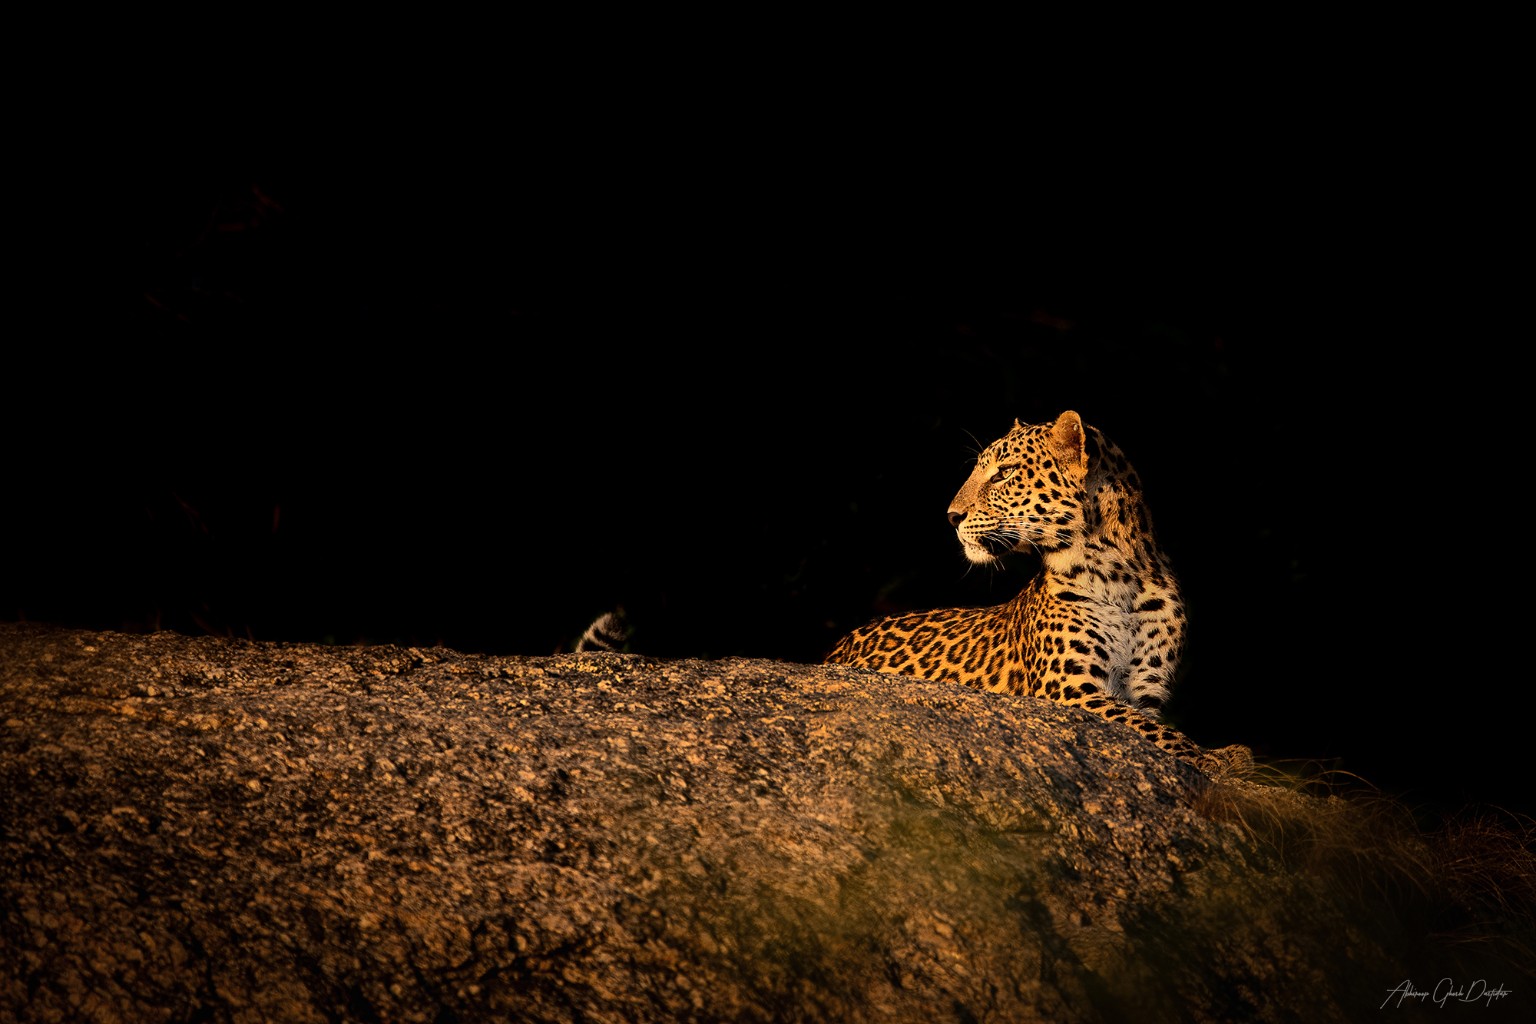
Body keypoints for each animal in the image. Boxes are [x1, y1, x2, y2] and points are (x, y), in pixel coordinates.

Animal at [826, 410, 1244, 776]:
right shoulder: (1068, 690)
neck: (1122, 579)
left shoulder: (1146, 691)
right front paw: (1221, 757)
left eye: (1005, 473)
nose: (951, 517)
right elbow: (1148, 728)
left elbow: (1152, 724)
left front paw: (1219, 756)